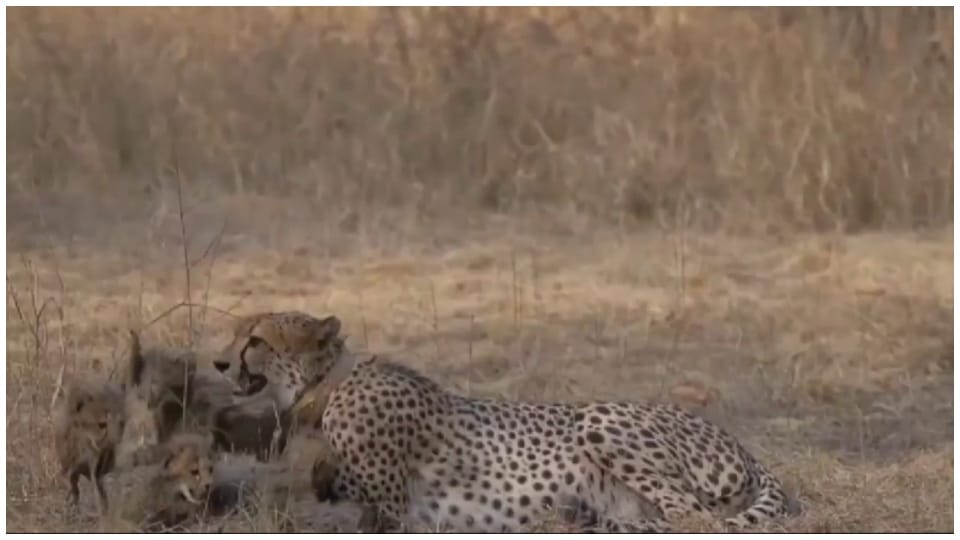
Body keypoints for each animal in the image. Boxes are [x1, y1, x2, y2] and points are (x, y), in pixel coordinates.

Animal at [214, 310, 792, 533]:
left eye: (256, 339)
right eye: (237, 333)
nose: (219, 363)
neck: (325, 388)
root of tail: (741, 446)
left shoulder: (388, 508)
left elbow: (316, 504)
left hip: (600, 418)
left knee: (694, 516)